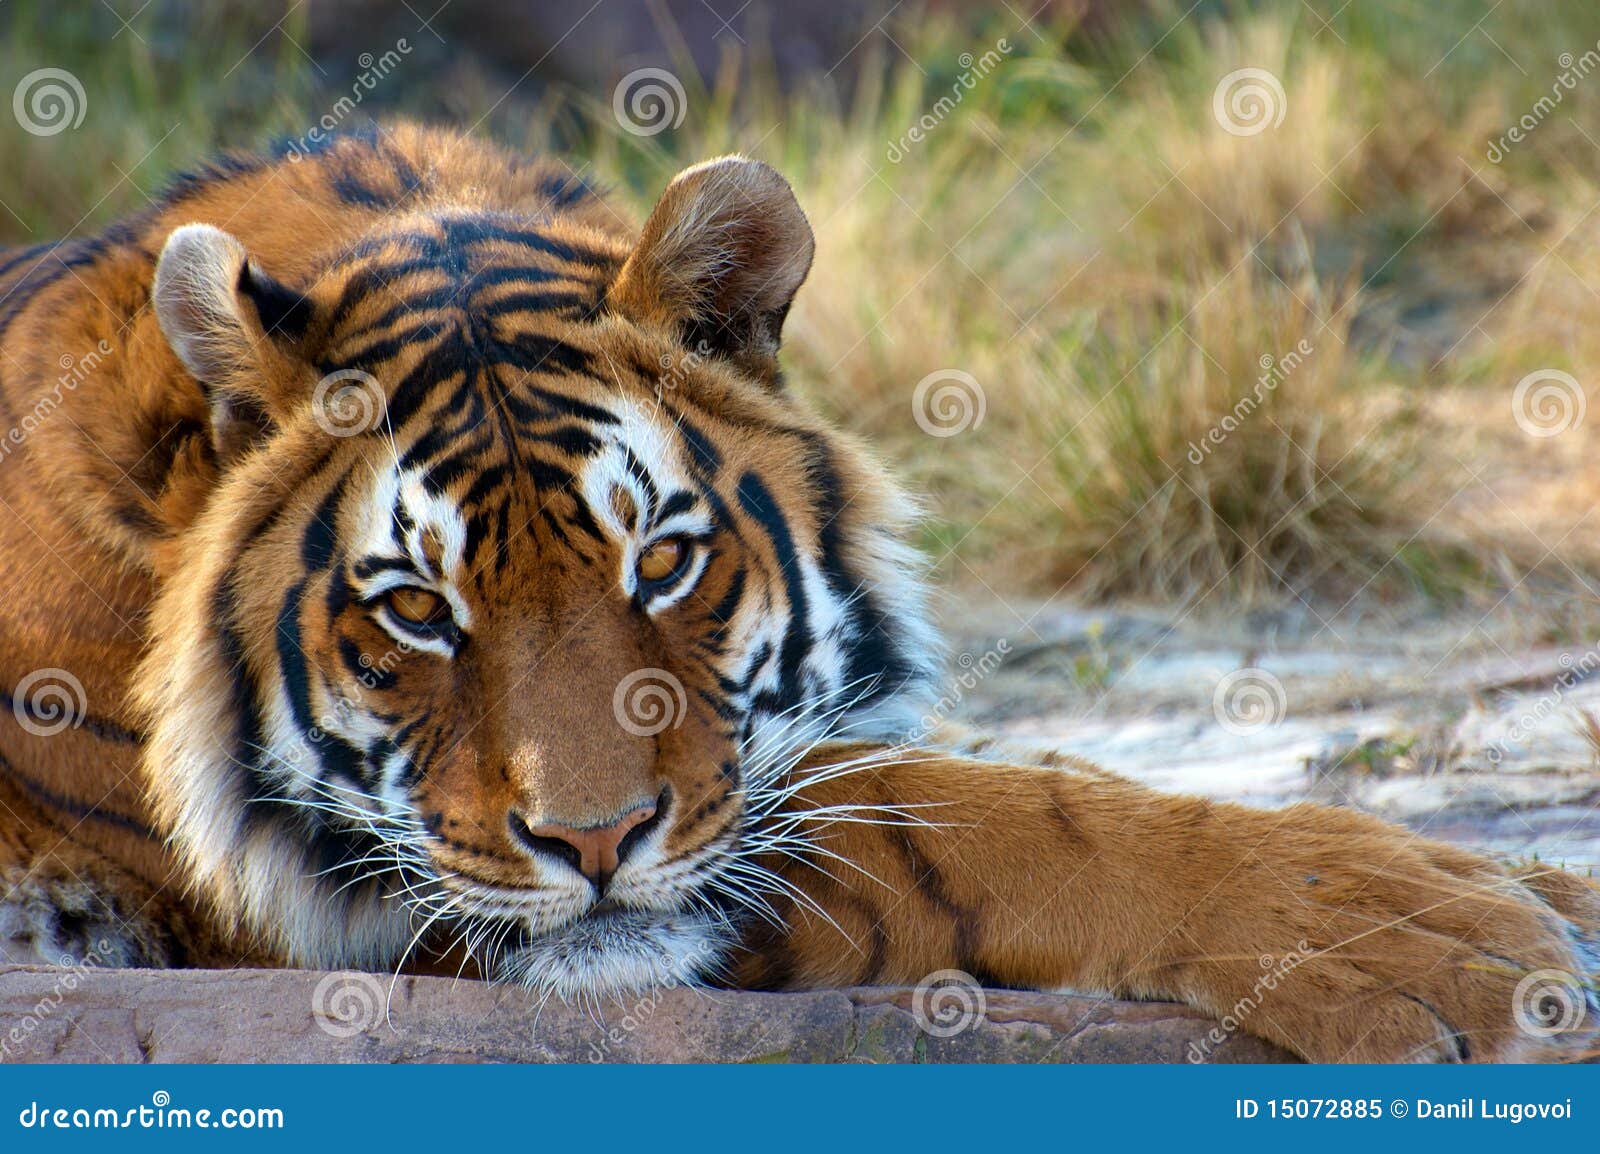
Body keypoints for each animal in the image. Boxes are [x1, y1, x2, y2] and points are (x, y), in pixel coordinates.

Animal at [0, 123, 1595, 1063]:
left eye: (661, 560)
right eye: (416, 611)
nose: (594, 841)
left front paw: (1535, 884)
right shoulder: (392, 904)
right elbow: (962, 825)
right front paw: (1415, 931)